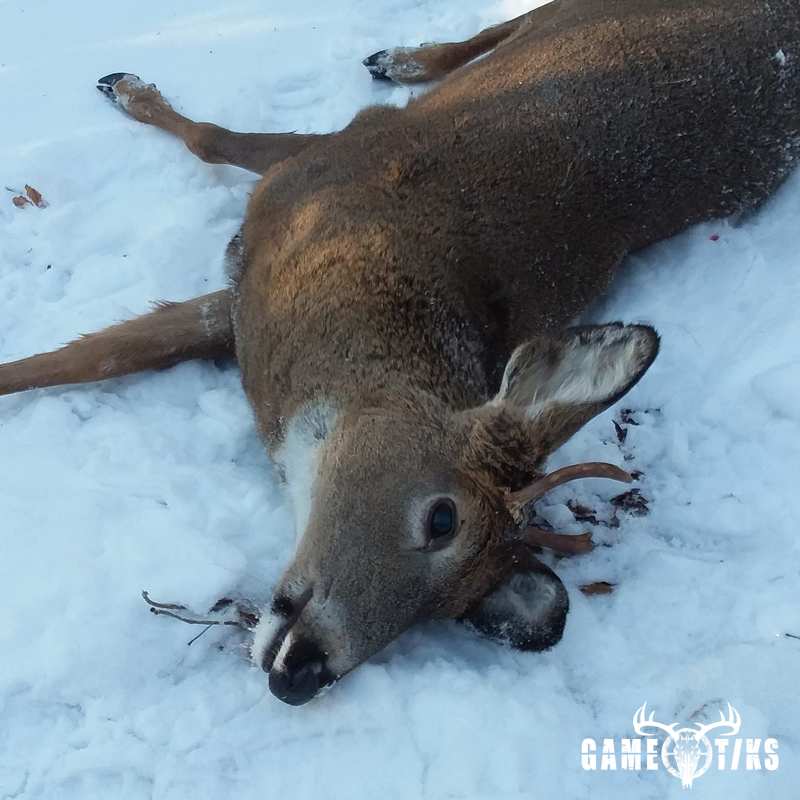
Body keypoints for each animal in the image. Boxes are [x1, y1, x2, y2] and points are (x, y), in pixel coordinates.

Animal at [1, 0, 798, 705]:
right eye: (442, 519)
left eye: (452, 608)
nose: (303, 673)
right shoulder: (315, 169)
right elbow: (206, 144)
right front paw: (132, 90)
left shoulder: (246, 304)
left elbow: (98, 353)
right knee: (493, 31)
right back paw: (392, 58)